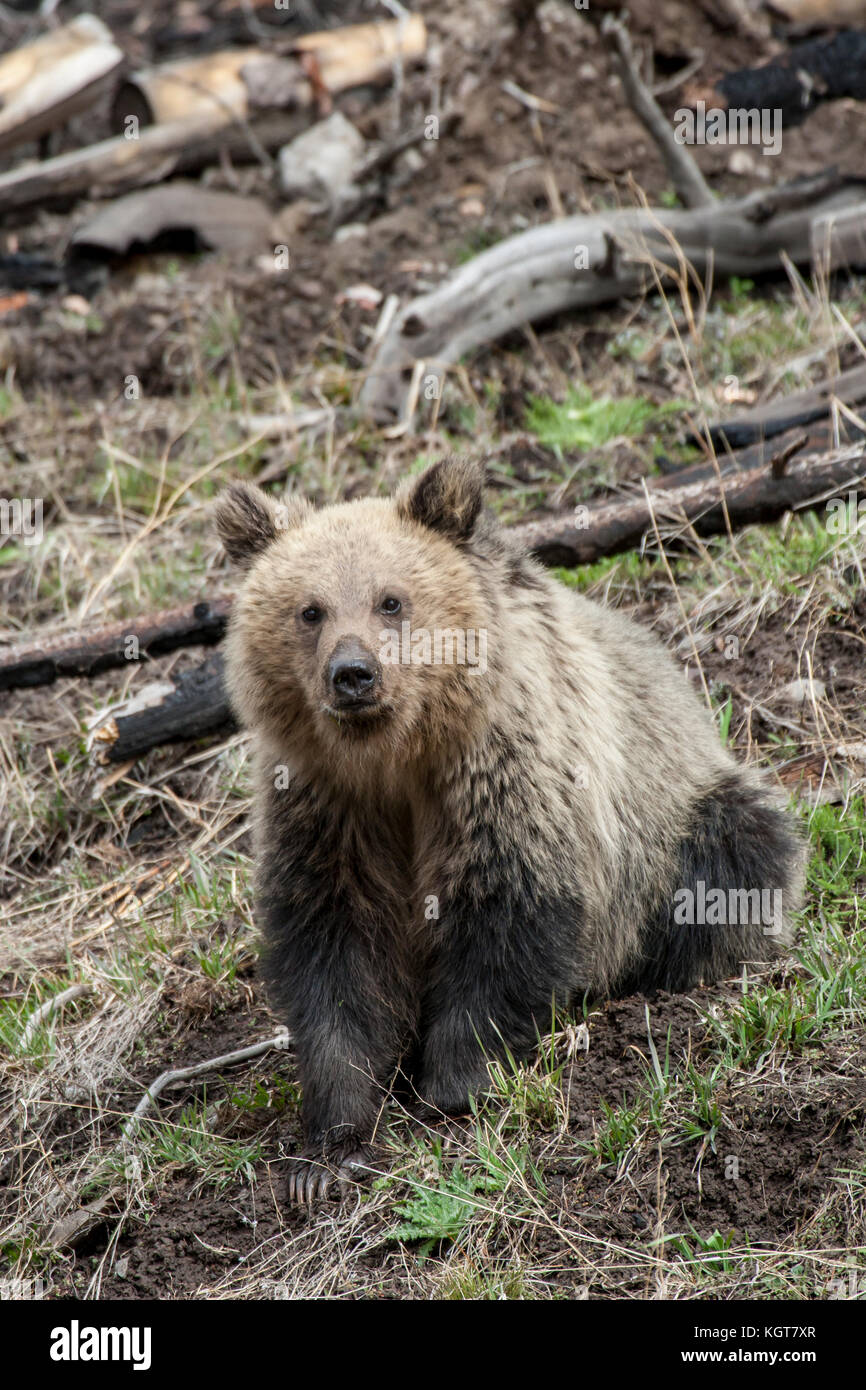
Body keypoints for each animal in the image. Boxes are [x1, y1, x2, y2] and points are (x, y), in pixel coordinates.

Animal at [215, 456, 805, 1204]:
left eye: (390, 600)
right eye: (310, 609)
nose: (353, 674)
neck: (398, 757)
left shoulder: (505, 770)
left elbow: (507, 912)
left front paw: (454, 1086)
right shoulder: (326, 806)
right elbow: (334, 948)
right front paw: (327, 1148)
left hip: (683, 815)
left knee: (735, 862)